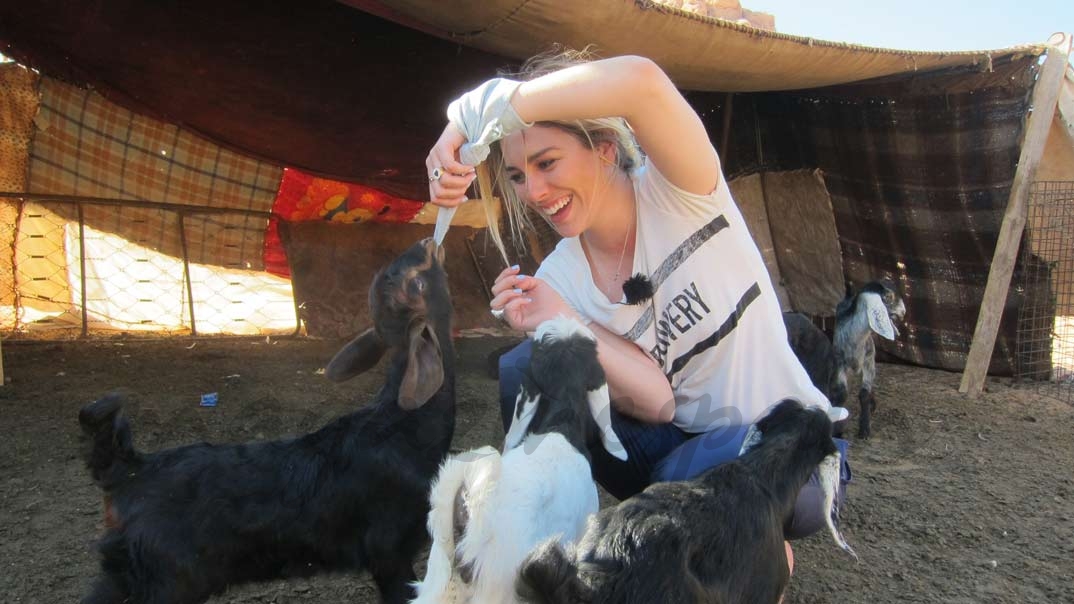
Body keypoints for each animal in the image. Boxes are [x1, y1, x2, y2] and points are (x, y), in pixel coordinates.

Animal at [77, 236, 455, 601]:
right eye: (418, 283)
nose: (426, 242)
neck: (403, 427)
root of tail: (129, 470)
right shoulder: (388, 546)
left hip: (125, 572)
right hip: (168, 576)